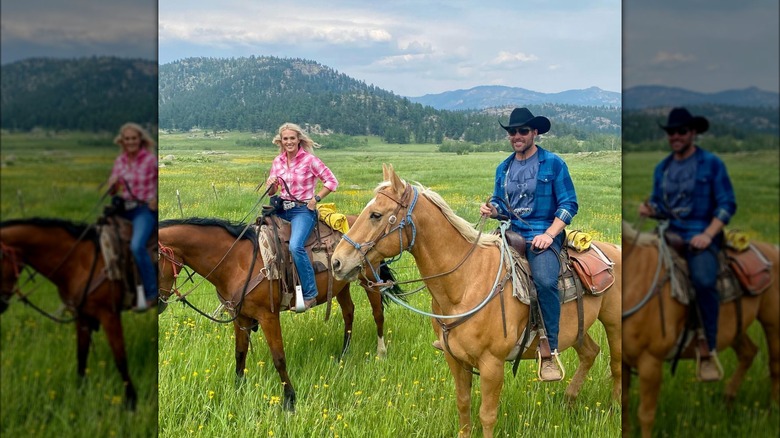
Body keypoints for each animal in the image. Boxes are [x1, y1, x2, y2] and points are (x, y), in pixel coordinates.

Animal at [0, 218, 139, 408]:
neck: (80, 262)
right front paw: (80, 391)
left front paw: (131, 402)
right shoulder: (82, 316)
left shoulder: (109, 315)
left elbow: (120, 360)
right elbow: (81, 355)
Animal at [159, 217, 402, 412]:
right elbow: (240, 353)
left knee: (377, 313)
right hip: (341, 285)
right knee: (349, 312)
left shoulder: (268, 317)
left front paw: (289, 400)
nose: (159, 305)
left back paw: (381, 353)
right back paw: (343, 354)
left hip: (369, 279)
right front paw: (238, 388)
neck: (236, 261)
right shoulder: (240, 317)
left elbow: (279, 359)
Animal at [332, 165, 624, 438]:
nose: (337, 261)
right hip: (575, 330)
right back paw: (569, 401)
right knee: (590, 353)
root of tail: (614, 249)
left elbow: (487, 414)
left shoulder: (491, 364)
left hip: (613, 324)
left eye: (376, 215)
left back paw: (614, 411)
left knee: (616, 364)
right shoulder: (454, 359)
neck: (465, 284)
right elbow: (463, 405)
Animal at [620, 222, 780, 438]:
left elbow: (646, 414)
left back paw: (772, 412)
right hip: (732, 329)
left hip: (772, 323)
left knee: (775, 365)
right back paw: (728, 401)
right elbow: (624, 405)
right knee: (748, 352)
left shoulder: (650, 361)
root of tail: (772, 249)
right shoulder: (625, 362)